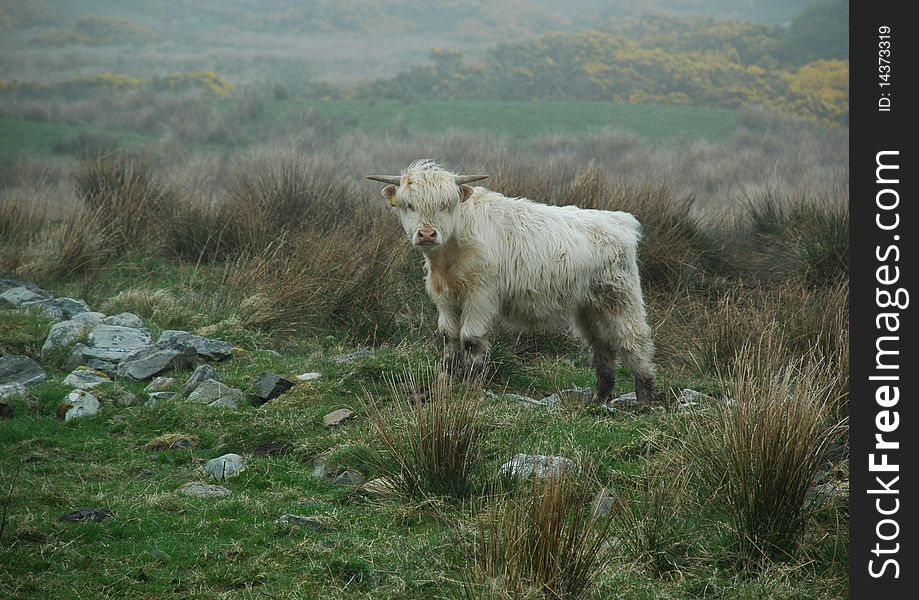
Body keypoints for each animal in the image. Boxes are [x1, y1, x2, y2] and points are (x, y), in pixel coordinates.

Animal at [364, 159, 656, 404]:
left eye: (446, 205)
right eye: (409, 205)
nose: (426, 234)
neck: (449, 256)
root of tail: (619, 219)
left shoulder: (480, 297)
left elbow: (470, 340)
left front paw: (470, 388)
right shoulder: (445, 300)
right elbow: (449, 340)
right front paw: (443, 385)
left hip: (620, 297)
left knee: (634, 340)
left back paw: (644, 398)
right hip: (588, 307)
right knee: (602, 347)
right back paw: (598, 398)